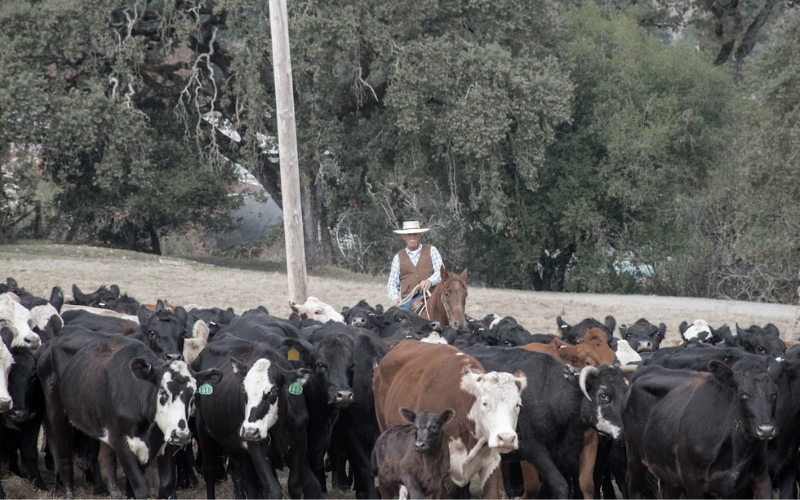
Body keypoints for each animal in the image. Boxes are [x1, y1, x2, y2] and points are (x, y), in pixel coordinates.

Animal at [36, 330, 220, 498]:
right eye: (162, 392)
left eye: (192, 395)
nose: (181, 435)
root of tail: (51, 343)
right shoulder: (121, 443)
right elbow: (141, 487)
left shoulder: (163, 442)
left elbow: (166, 485)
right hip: (57, 414)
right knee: (64, 459)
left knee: (106, 465)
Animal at [191, 334, 318, 498]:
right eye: (244, 390)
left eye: (272, 390)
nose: (250, 430)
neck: (280, 426)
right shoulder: (257, 448)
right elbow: (273, 489)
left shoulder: (299, 442)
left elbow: (295, 485)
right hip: (204, 432)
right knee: (209, 469)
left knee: (243, 475)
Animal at [466, 346, 636, 498]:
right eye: (603, 395)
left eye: (626, 393)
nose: (628, 432)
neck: (551, 395)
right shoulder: (534, 450)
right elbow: (559, 485)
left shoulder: (577, 450)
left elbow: (581, 485)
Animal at [620, 358, 780, 498]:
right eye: (743, 395)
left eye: (774, 395)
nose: (765, 429)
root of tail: (643, 369)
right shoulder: (692, 481)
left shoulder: (761, 478)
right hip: (634, 455)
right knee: (633, 487)